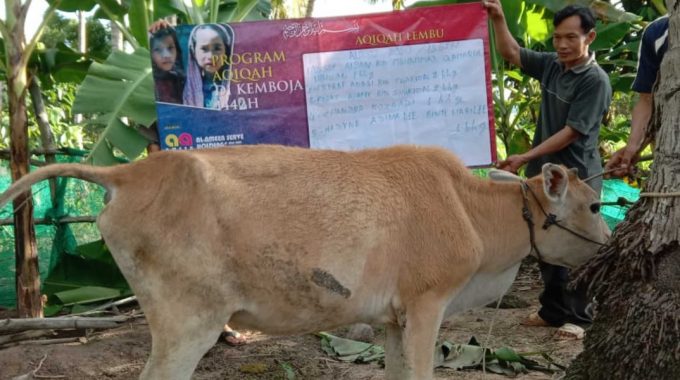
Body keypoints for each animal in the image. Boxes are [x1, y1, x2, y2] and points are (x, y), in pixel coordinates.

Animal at [0, 145, 608, 380]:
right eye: (596, 203)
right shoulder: (427, 302)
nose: (608, 242)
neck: (470, 209)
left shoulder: (394, 318)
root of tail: (127, 173)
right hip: (186, 323)